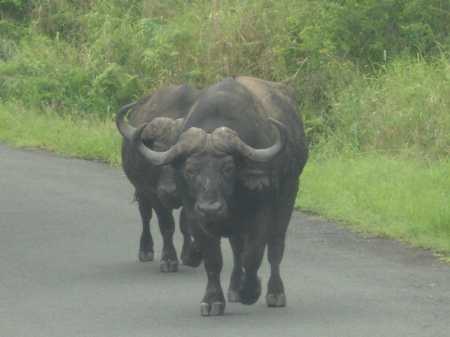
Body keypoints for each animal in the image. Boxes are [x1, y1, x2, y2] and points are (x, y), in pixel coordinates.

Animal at [115, 82, 201, 272]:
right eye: (156, 153)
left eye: (182, 161)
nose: (168, 191)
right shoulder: (153, 193)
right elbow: (167, 225)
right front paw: (169, 259)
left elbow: (185, 223)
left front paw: (186, 255)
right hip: (140, 189)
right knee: (145, 214)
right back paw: (145, 249)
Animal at [128, 75, 308, 312]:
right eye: (190, 170)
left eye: (228, 168)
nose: (210, 208)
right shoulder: (195, 216)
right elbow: (214, 258)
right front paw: (213, 299)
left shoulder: (263, 213)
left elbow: (254, 255)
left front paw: (250, 291)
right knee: (236, 249)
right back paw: (233, 288)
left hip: (288, 196)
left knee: (275, 248)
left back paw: (275, 293)